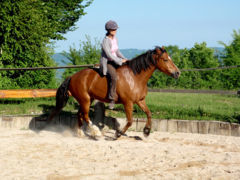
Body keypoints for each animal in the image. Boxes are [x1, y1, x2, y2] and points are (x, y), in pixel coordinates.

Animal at [46, 46, 180, 138]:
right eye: (165, 59)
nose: (178, 73)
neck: (135, 77)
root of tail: (72, 77)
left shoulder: (140, 101)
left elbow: (149, 114)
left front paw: (146, 131)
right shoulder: (128, 103)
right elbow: (130, 121)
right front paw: (118, 134)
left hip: (87, 99)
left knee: (80, 115)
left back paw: (81, 134)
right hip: (85, 100)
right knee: (85, 115)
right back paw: (96, 132)